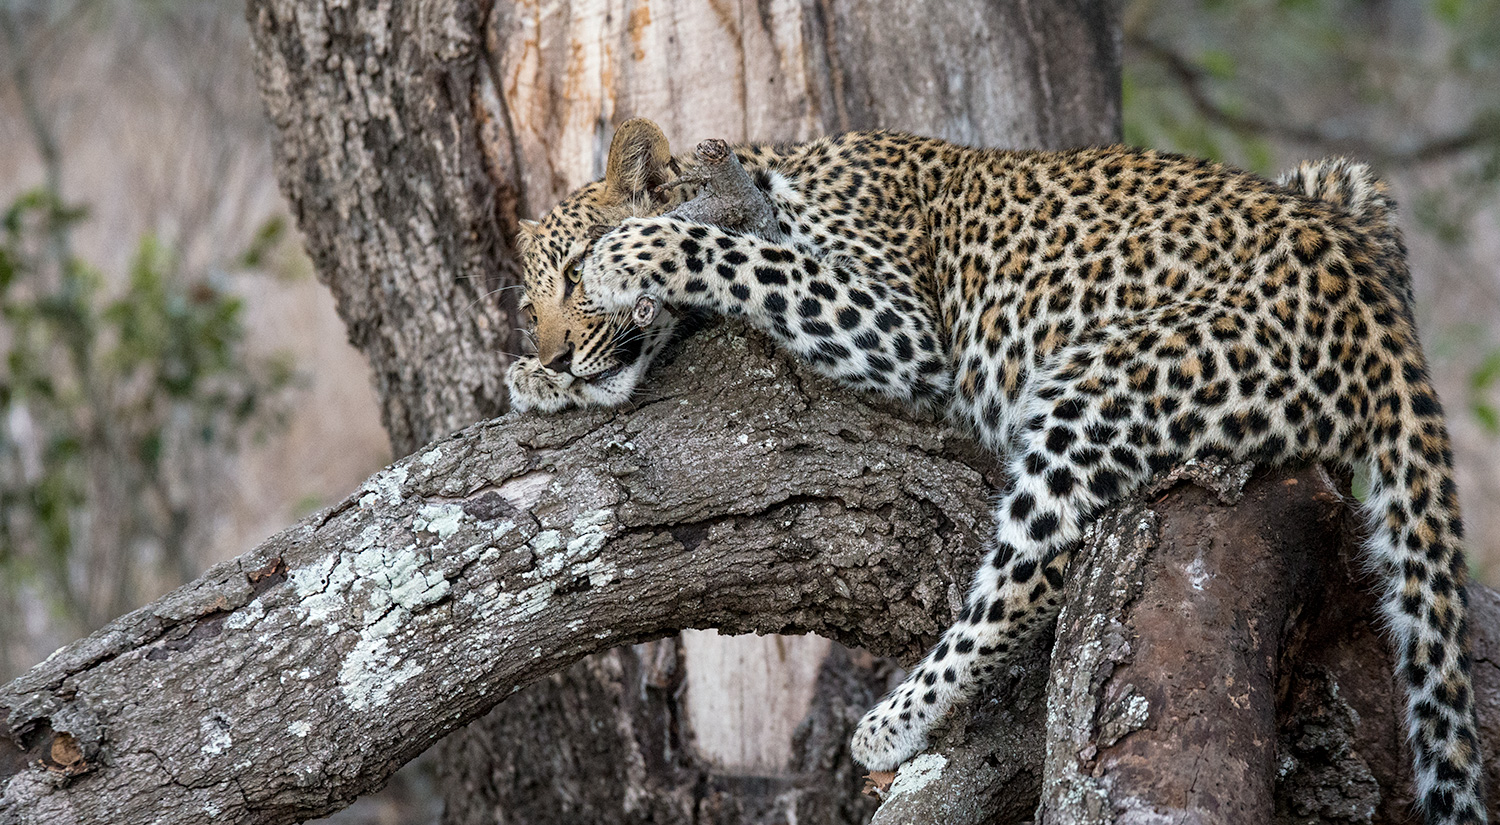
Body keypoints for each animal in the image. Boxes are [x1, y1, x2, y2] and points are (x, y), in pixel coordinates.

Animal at [507, 118, 1486, 823]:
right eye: (528, 302)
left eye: (572, 271)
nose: (552, 354)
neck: (766, 170)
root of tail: (1377, 316)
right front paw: (534, 381)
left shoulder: (901, 324)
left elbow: (753, 258)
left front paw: (634, 255)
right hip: (1341, 185)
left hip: (1103, 382)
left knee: (1032, 571)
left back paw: (896, 721)